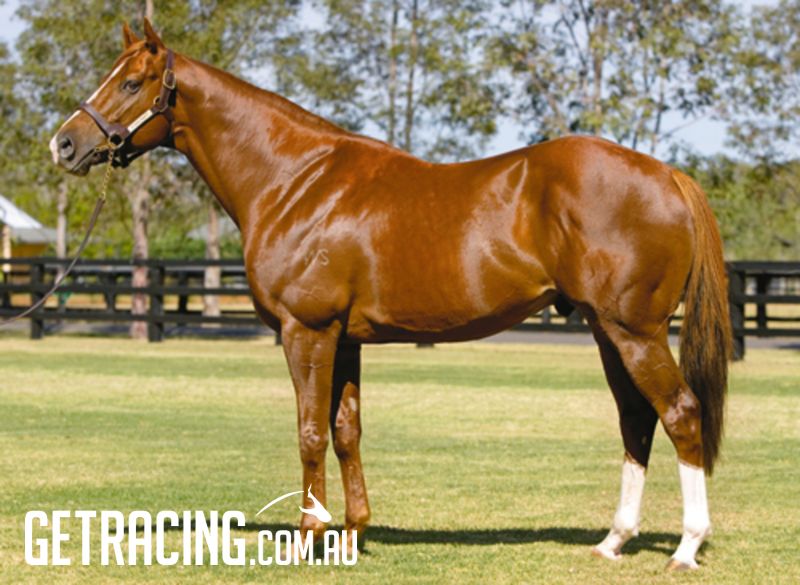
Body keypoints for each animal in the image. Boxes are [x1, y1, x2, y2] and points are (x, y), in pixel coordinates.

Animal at [49, 20, 731, 570]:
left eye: (131, 83)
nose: (65, 143)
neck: (295, 181)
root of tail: (667, 174)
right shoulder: (345, 339)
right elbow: (346, 431)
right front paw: (352, 532)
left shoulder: (306, 331)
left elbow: (310, 432)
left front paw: (308, 536)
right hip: (605, 329)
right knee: (636, 419)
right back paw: (614, 541)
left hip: (633, 331)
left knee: (680, 413)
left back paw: (686, 547)